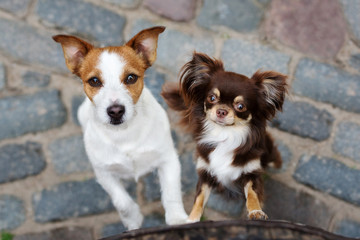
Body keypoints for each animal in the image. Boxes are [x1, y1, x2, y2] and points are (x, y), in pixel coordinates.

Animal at [54, 26, 188, 231]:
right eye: (94, 81)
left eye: (131, 78)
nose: (115, 111)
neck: (124, 133)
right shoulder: (103, 173)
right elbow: (122, 202)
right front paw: (133, 221)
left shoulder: (168, 160)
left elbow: (171, 193)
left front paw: (177, 220)